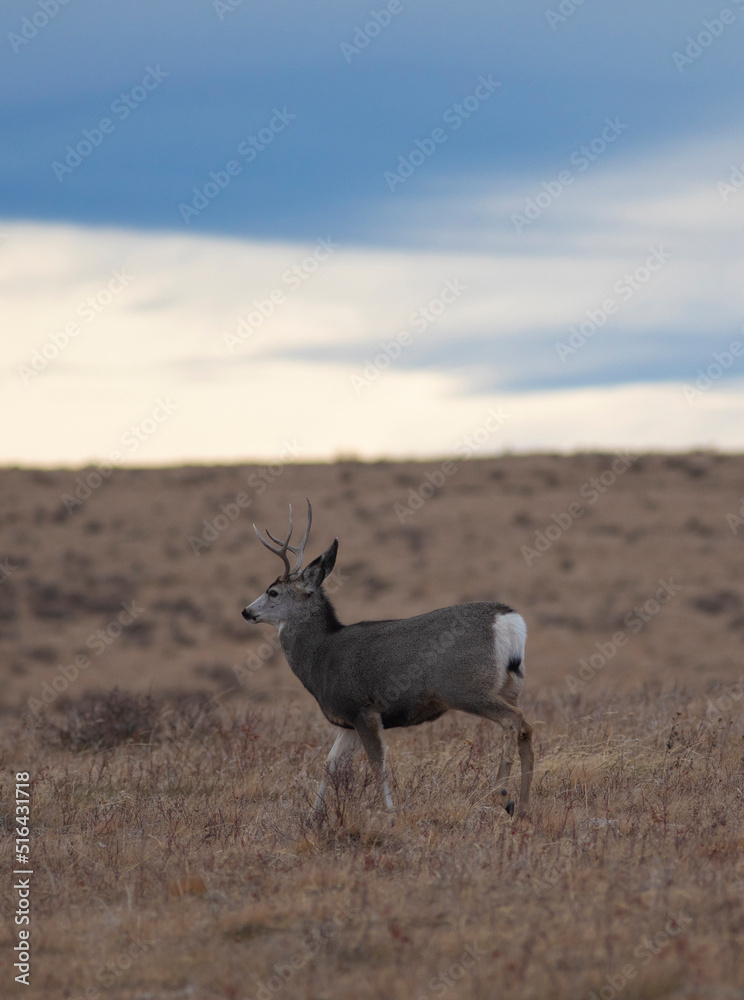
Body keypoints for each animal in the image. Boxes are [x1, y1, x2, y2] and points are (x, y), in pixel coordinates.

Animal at [241, 500, 534, 817]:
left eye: (273, 592)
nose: (246, 611)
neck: (321, 656)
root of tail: (509, 622)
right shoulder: (348, 720)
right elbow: (329, 764)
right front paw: (314, 816)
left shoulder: (362, 708)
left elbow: (376, 763)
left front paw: (390, 812)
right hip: (510, 685)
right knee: (526, 727)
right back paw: (523, 803)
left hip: (466, 687)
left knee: (513, 719)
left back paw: (502, 794)